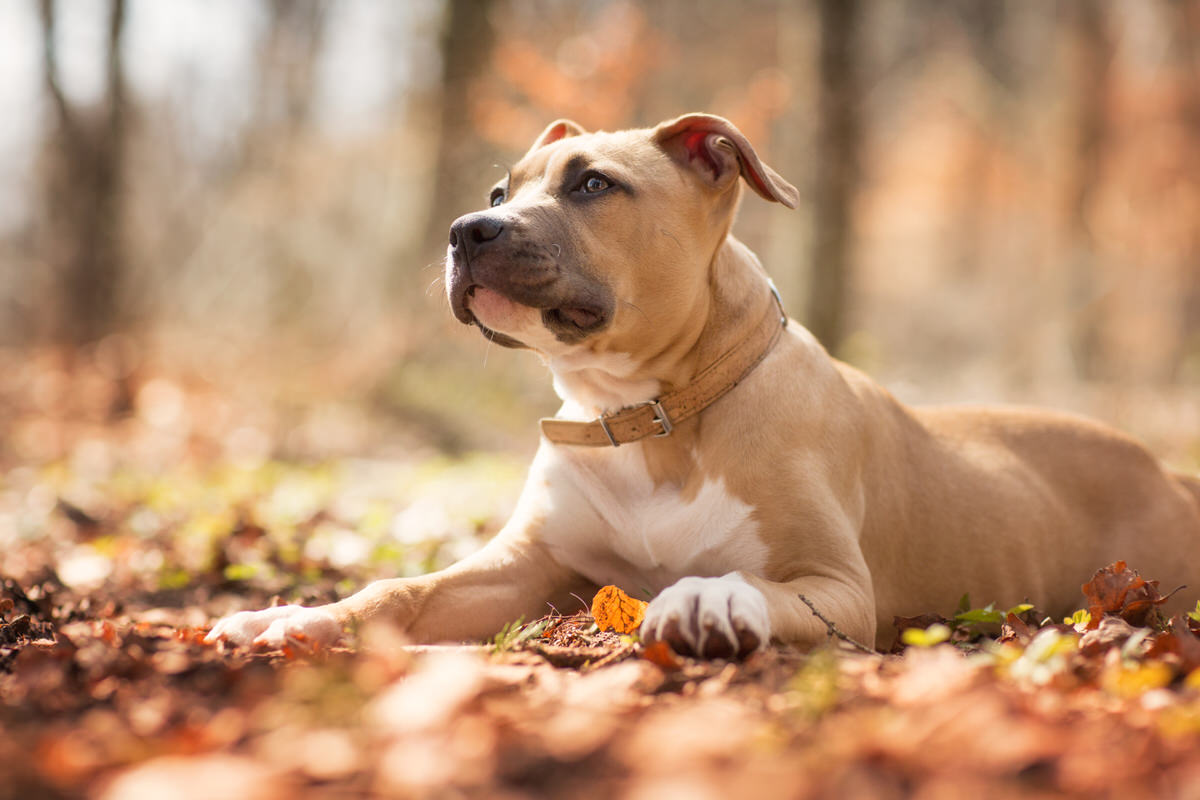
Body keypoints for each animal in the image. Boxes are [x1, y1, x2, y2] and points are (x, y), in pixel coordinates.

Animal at [211, 115, 1200, 662]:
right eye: (498, 191)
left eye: (593, 185)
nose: (465, 230)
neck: (644, 415)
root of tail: (1165, 470)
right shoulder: (526, 565)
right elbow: (401, 592)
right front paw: (292, 617)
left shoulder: (839, 586)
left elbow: (749, 582)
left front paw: (706, 597)